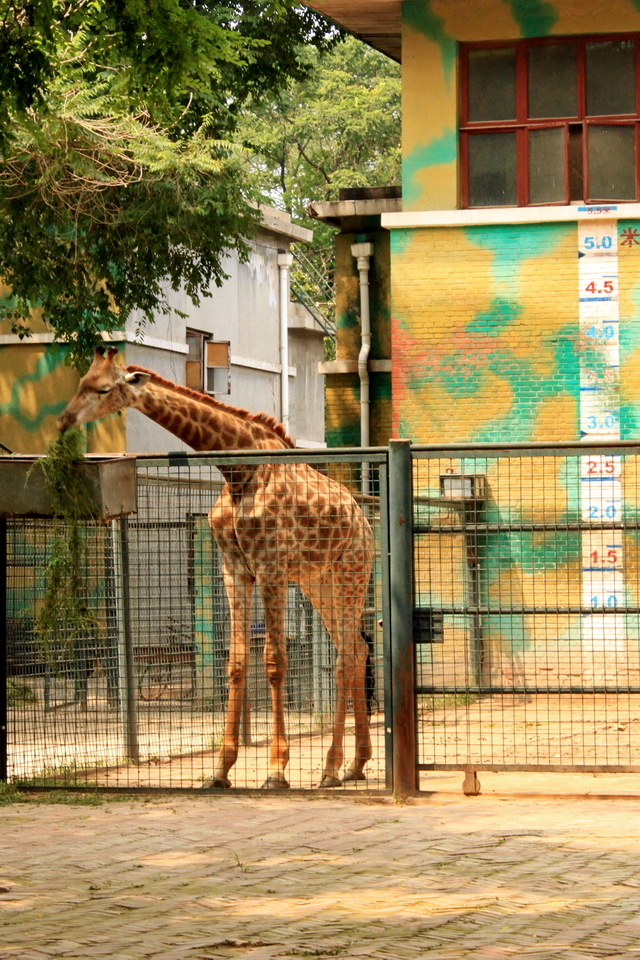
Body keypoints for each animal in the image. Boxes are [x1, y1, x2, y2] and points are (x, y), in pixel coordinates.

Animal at [58, 344, 376, 788]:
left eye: (103, 388)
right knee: (356, 648)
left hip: (350, 574)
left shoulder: (270, 565)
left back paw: (331, 767)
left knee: (346, 655)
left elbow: (274, 660)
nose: (63, 420)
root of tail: (364, 522)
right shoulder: (234, 567)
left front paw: (276, 770)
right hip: (319, 583)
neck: (238, 471)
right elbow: (237, 661)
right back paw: (354, 764)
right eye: (81, 383)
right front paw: (221, 769)